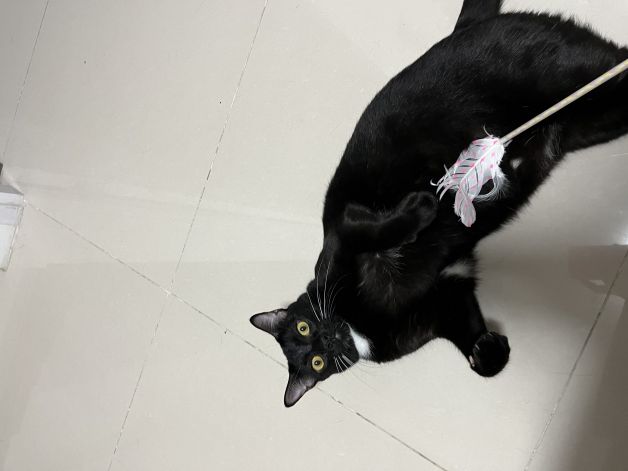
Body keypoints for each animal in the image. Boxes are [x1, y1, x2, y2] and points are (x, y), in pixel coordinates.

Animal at [251, 0, 628, 407]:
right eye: (315, 362)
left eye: (304, 327)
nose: (325, 338)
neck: (360, 324)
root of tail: (466, 28)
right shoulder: (450, 294)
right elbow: (480, 356)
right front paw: (489, 349)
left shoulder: (345, 229)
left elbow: (379, 230)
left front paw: (424, 205)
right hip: (591, 121)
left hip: (566, 76)